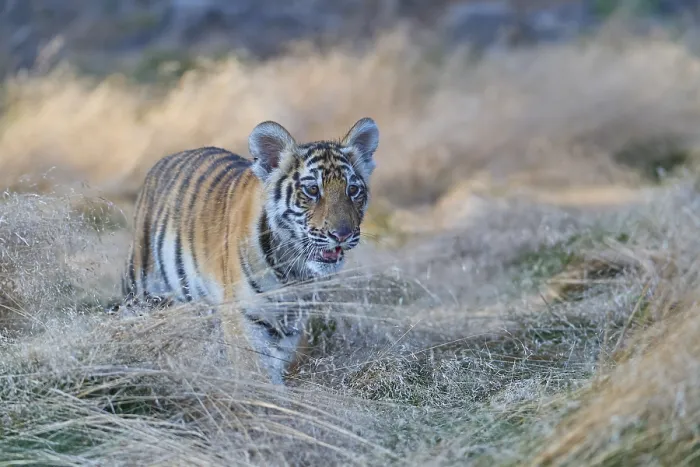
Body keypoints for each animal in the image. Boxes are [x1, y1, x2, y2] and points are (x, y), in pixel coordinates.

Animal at [120, 118, 379, 384]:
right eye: (312, 190)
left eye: (353, 190)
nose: (342, 234)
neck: (293, 269)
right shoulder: (243, 316)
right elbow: (257, 371)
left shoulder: (292, 324)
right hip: (142, 290)